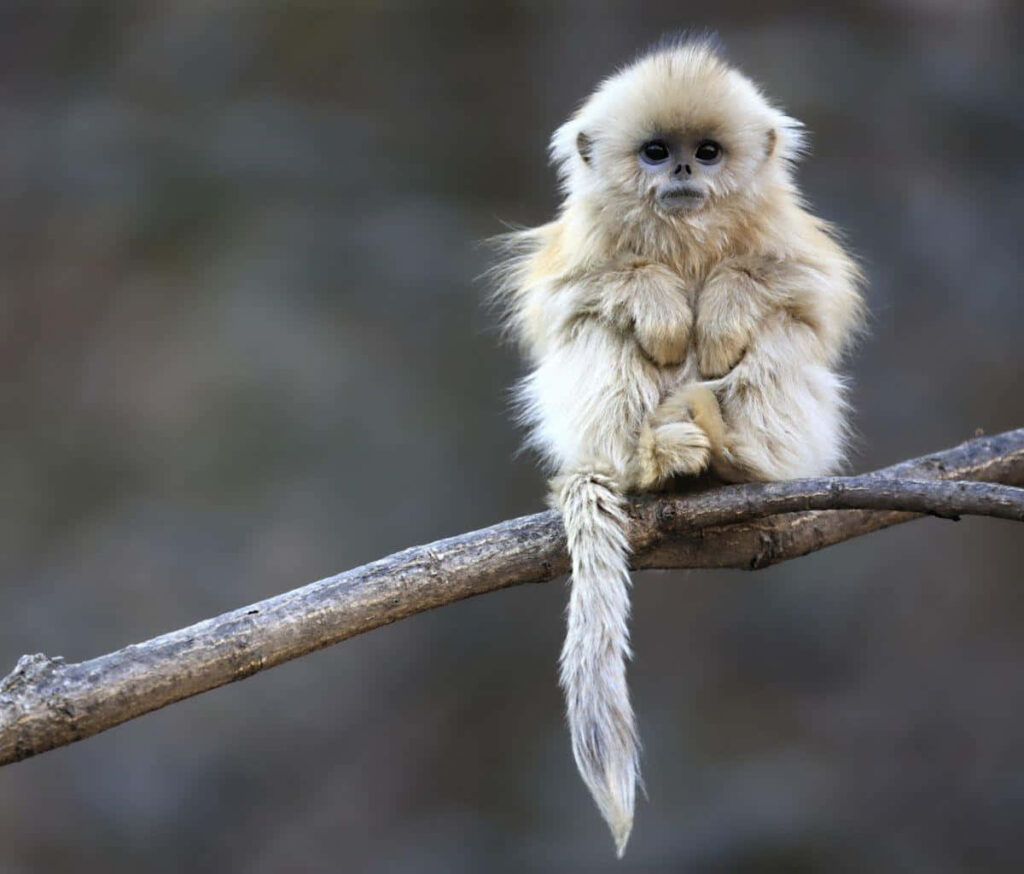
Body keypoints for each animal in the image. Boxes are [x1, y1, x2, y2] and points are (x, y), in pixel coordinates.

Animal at [491, 37, 863, 855]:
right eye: (656, 152)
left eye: (709, 152)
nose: (685, 173)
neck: (686, 237)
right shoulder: (579, 250)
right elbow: (573, 299)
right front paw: (661, 305)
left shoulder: (791, 242)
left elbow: (806, 296)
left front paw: (721, 311)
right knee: (597, 331)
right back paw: (653, 460)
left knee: (781, 334)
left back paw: (731, 453)